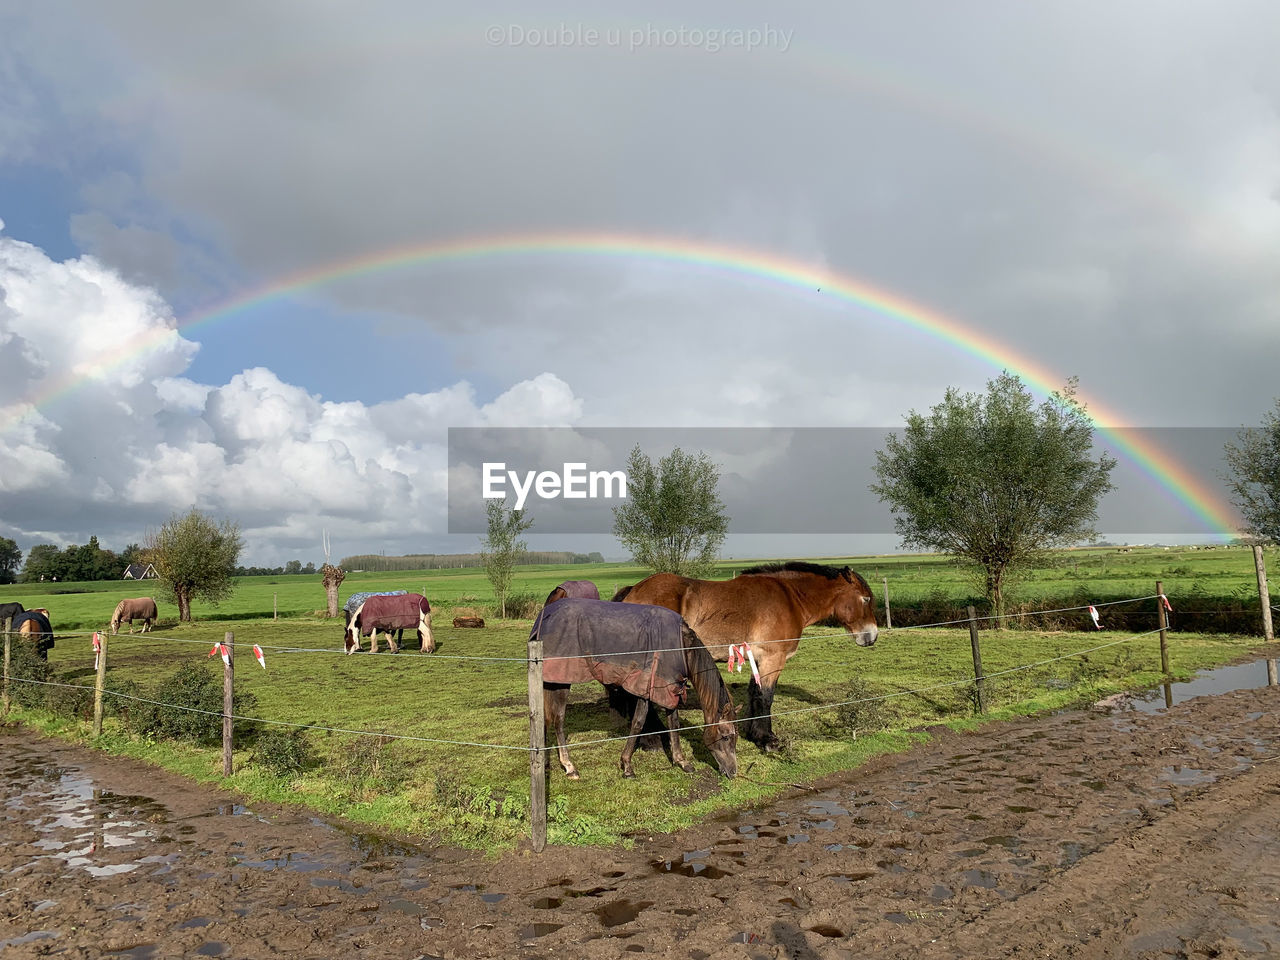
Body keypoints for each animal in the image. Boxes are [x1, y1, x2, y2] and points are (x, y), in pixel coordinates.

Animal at [532, 601, 742, 783]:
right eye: (726, 736)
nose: (733, 772)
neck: (682, 645)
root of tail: (545, 615)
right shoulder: (647, 686)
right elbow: (638, 723)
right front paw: (627, 766)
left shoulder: (669, 687)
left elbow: (673, 723)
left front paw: (682, 761)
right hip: (561, 681)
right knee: (558, 720)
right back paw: (570, 767)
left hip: (549, 682)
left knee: (544, 719)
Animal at [619, 560, 880, 757]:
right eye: (865, 599)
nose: (872, 636)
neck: (790, 598)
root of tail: (633, 591)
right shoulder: (773, 659)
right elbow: (766, 697)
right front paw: (768, 740)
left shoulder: (758, 658)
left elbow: (755, 693)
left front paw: (754, 734)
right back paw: (651, 740)